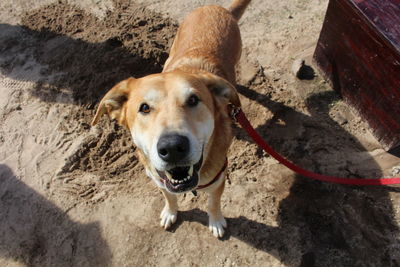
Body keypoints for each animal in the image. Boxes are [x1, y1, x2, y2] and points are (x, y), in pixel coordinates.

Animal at [92, 0, 252, 239]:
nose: (173, 147)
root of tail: (216, 8)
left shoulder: (219, 179)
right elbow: (169, 196)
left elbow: (213, 204)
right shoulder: (159, 178)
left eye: (193, 100)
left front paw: (215, 221)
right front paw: (170, 212)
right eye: (144, 108)